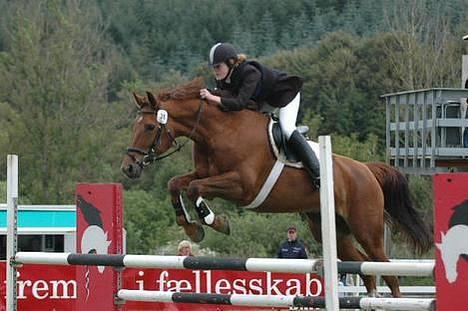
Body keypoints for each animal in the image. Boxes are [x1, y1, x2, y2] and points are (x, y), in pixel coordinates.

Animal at [120, 77, 432, 298]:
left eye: (149, 127)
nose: (128, 168)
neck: (219, 131)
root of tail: (366, 169)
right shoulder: (206, 173)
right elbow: (176, 183)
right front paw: (189, 226)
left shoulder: (241, 186)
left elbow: (196, 188)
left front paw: (214, 221)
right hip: (331, 229)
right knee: (364, 270)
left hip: (366, 228)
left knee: (387, 272)